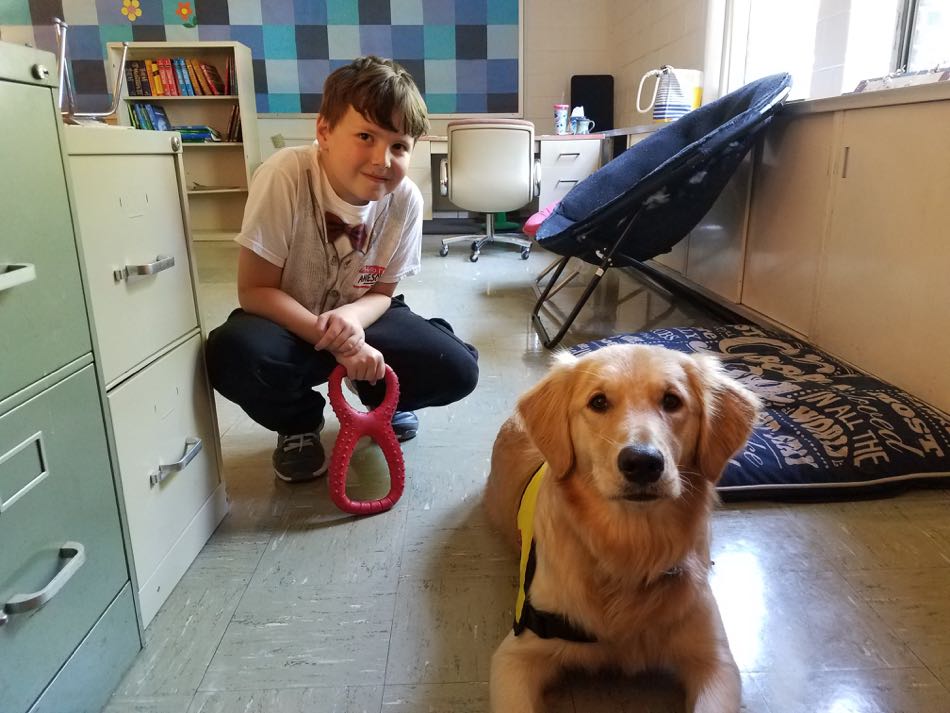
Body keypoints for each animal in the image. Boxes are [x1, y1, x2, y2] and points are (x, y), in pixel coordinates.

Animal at [488, 342, 764, 708]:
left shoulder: (716, 661)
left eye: (672, 400)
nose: (642, 463)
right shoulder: (517, 654)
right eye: (598, 402)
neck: (630, 549)